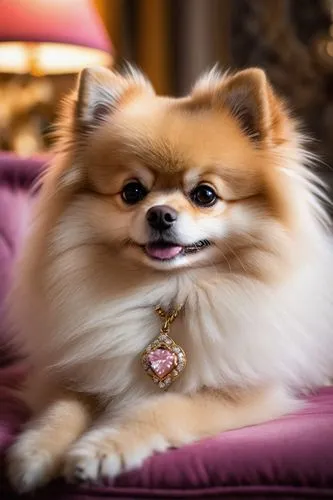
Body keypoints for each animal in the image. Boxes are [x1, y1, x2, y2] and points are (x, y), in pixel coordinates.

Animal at [5, 65, 333, 492]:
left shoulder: (243, 390)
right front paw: (34, 452)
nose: (159, 213)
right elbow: (62, 408)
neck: (169, 293)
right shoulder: (81, 371)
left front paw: (100, 449)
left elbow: (164, 408)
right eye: (132, 191)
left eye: (205, 195)